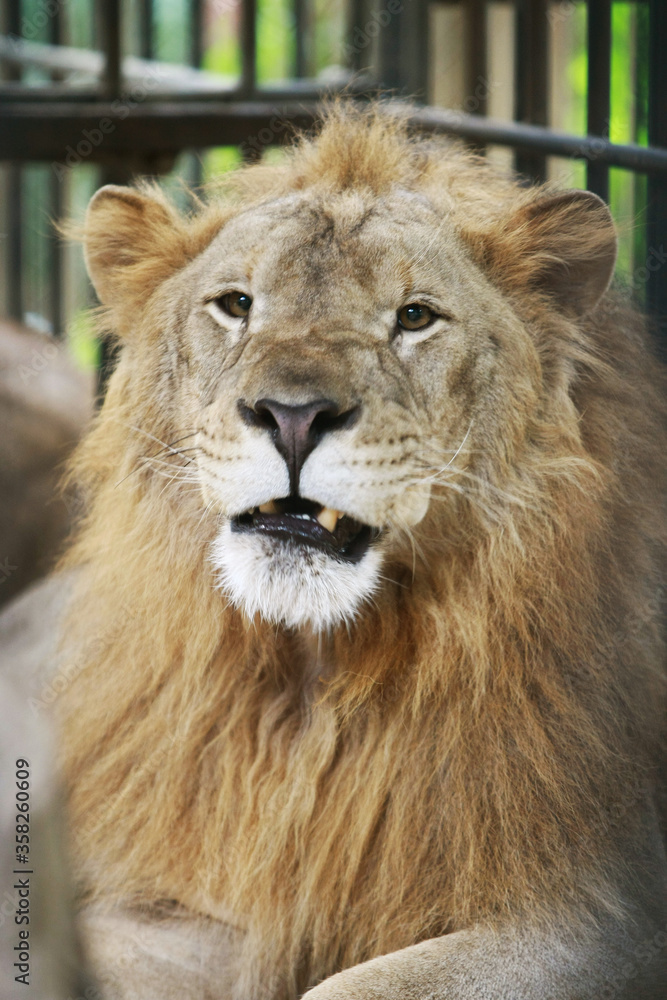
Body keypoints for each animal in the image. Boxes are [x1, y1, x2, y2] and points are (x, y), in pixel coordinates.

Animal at [21, 105, 667, 998]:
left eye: (414, 317)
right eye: (236, 305)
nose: (292, 415)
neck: (317, 675)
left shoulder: (603, 914)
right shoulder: (193, 904)